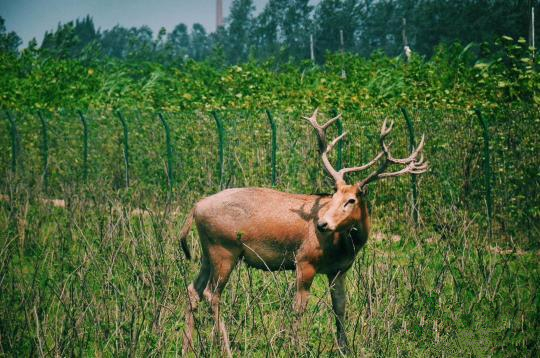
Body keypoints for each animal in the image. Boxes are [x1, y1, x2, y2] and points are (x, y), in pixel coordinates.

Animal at [179, 108, 428, 356]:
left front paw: (344, 348)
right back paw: (226, 347)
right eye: (333, 195)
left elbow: (340, 307)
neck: (344, 245)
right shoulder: (304, 260)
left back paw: (186, 346)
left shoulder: (339, 269)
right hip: (224, 249)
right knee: (212, 294)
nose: (322, 224)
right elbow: (299, 308)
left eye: (351, 200)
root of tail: (195, 207)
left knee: (193, 289)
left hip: (207, 252)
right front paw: (295, 346)